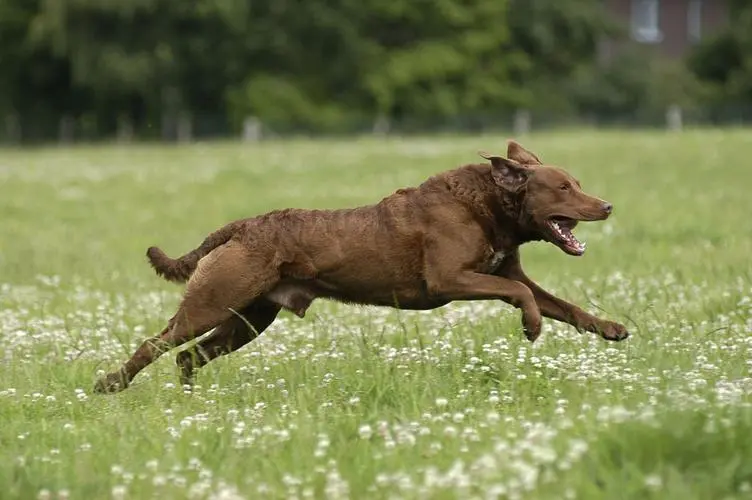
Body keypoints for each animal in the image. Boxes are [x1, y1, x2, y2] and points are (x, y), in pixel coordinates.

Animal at [92, 139, 628, 392]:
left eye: (577, 183)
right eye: (563, 188)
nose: (607, 206)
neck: (491, 205)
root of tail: (241, 226)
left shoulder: (505, 273)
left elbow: (562, 304)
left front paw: (610, 328)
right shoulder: (450, 279)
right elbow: (525, 298)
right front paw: (531, 327)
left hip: (250, 319)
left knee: (188, 357)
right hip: (215, 302)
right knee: (158, 343)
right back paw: (110, 384)